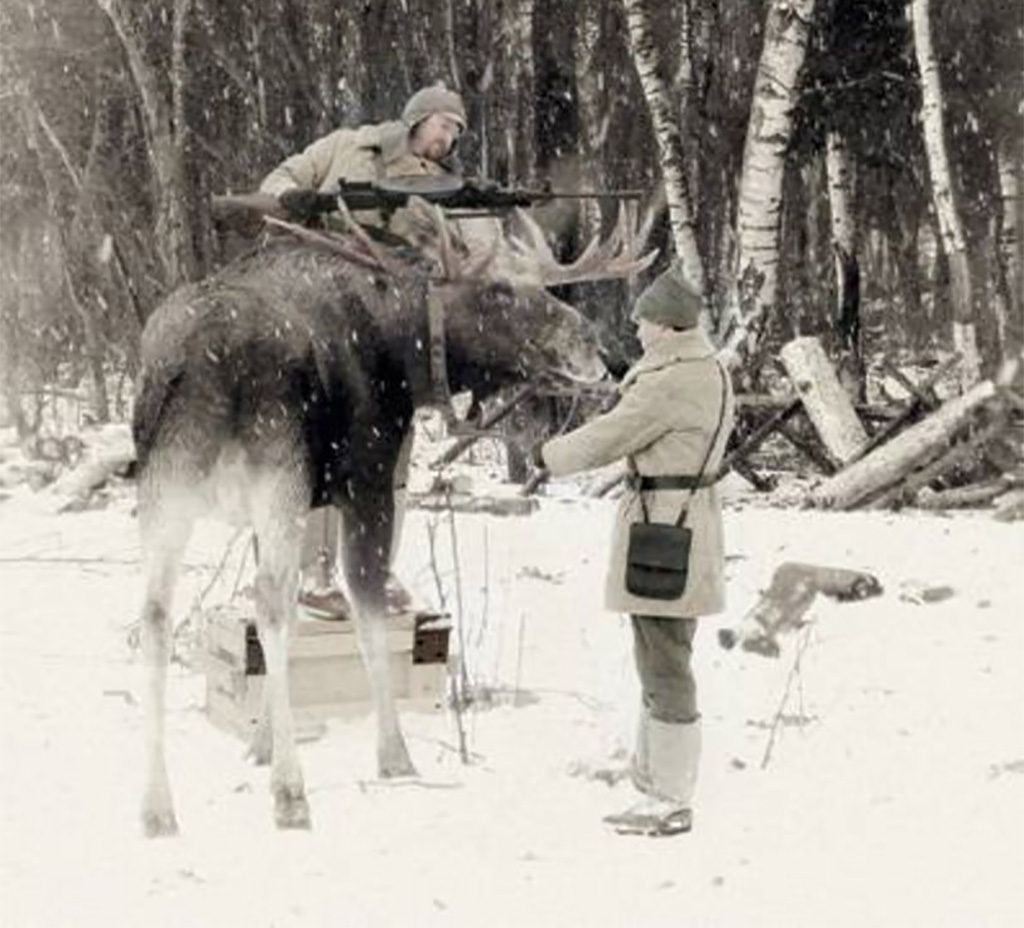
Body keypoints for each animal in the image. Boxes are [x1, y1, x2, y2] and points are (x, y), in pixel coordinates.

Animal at [134, 200, 655, 831]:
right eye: (499, 290)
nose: (602, 351)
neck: (403, 353)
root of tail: (198, 364)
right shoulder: (367, 478)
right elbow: (367, 613)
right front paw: (393, 753)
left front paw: (259, 744)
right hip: (275, 474)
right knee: (269, 603)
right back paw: (290, 792)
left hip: (166, 489)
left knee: (158, 615)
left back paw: (157, 805)